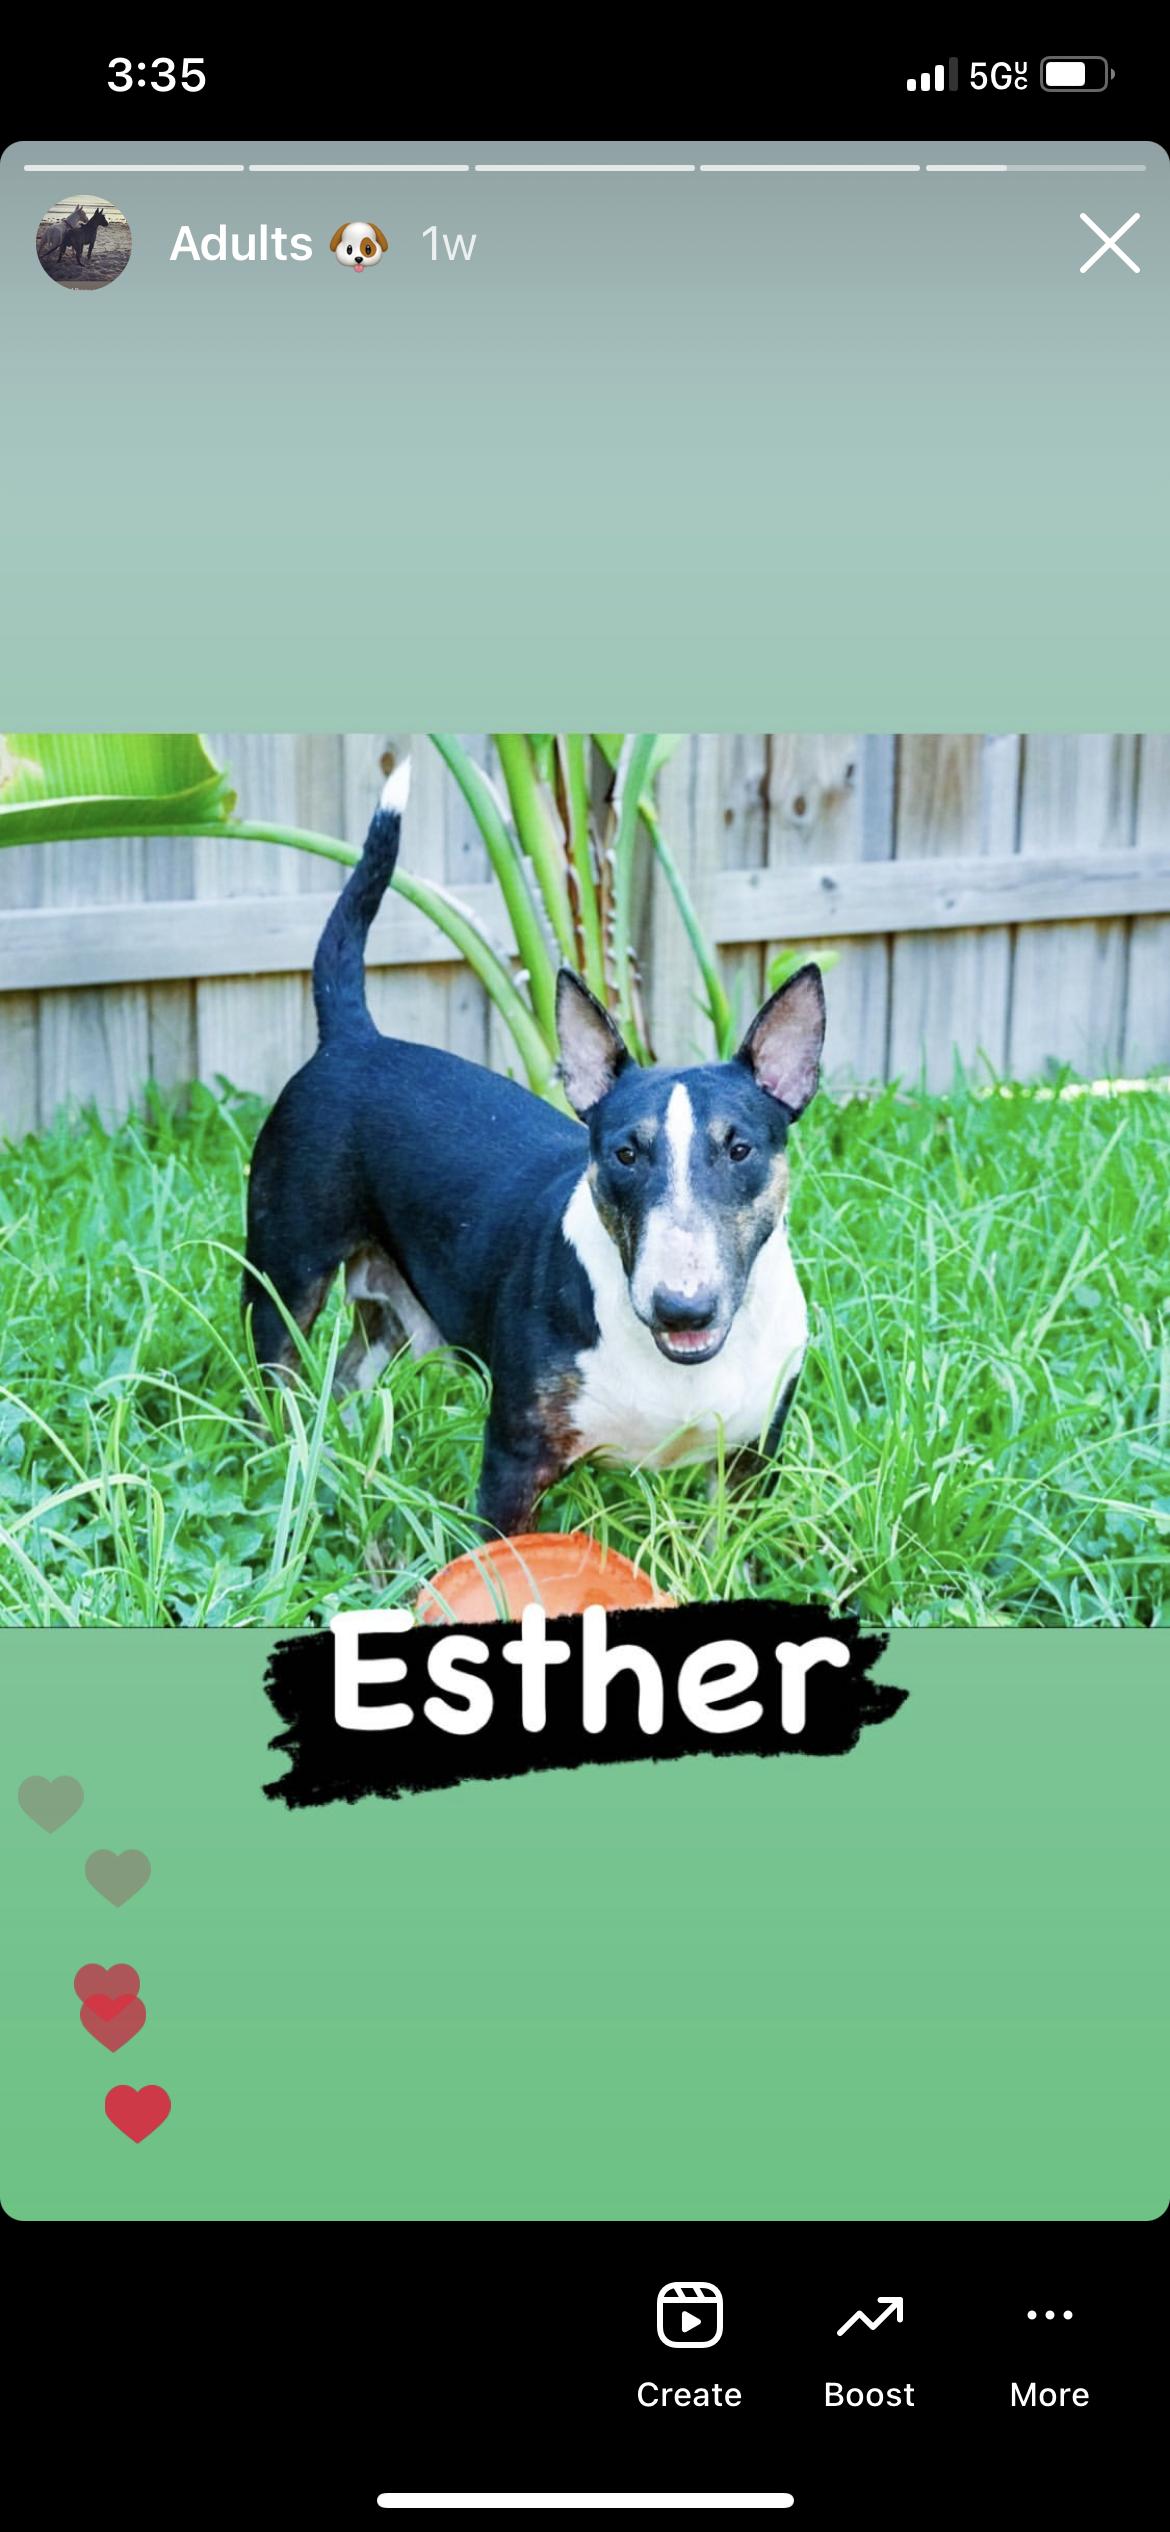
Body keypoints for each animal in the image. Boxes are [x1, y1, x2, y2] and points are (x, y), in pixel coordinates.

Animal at [243, 762, 826, 1535]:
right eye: (625, 1154)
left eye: (740, 1150)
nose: (683, 1309)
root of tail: (355, 1037)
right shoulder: (515, 1460)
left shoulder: (752, 1461)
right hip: (285, 1272)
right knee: (270, 1381)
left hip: (393, 1310)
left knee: (346, 1379)